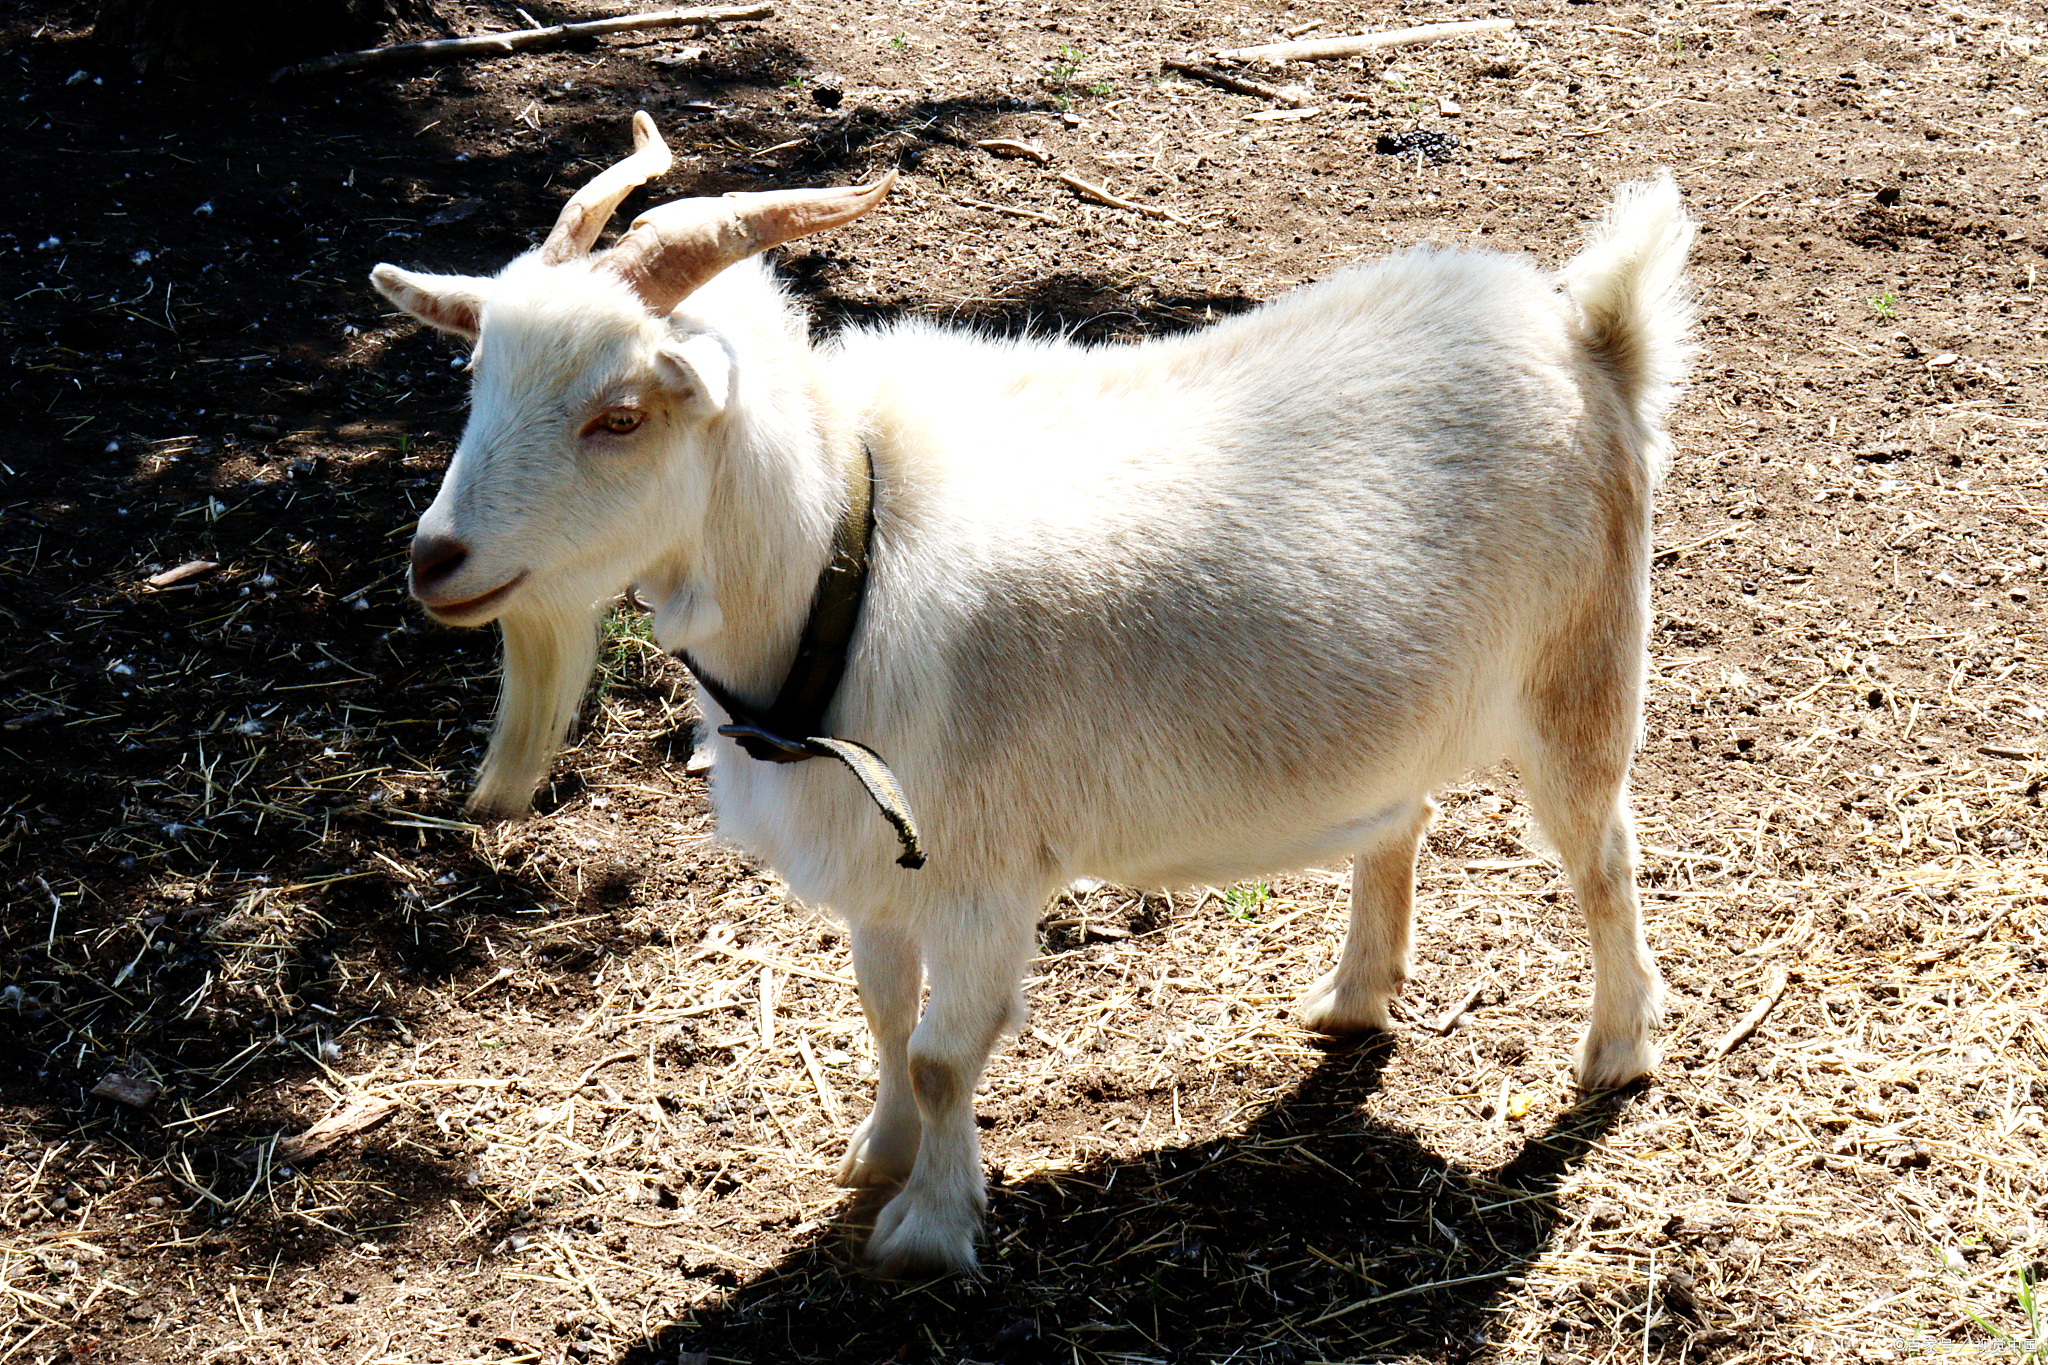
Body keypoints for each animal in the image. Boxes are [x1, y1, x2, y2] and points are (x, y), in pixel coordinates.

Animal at [368, 112, 1695, 1277]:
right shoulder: (880, 863)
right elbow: (882, 1014)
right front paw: (878, 1155)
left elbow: (945, 1053)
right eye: (477, 378)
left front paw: (927, 1229)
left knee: (1602, 857)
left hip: (1578, 668)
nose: (435, 561)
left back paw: (1616, 1052)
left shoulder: (981, 867)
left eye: (620, 415)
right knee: (1401, 818)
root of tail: (1586, 329)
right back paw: (1353, 999)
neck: (847, 553)